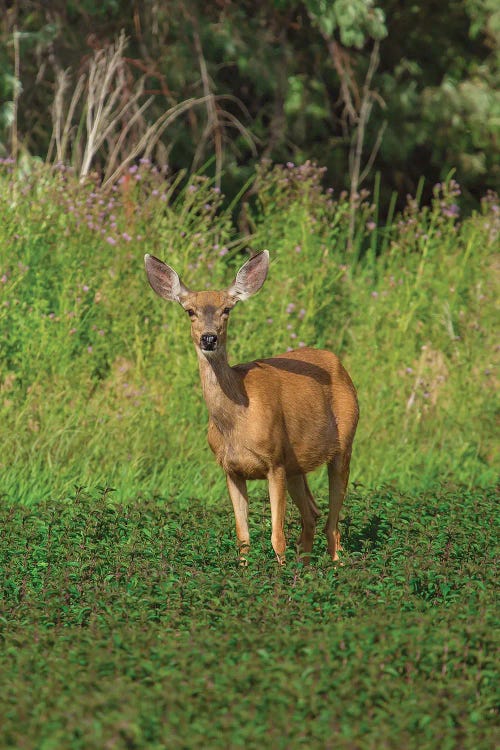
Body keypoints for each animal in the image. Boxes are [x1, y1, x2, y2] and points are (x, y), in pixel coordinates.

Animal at [145, 250, 360, 568]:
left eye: (226, 310)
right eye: (190, 311)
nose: (209, 338)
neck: (236, 421)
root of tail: (340, 365)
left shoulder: (275, 462)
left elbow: (277, 538)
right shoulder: (231, 469)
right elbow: (243, 538)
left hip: (344, 443)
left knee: (332, 523)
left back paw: (335, 566)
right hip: (298, 464)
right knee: (312, 513)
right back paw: (305, 568)